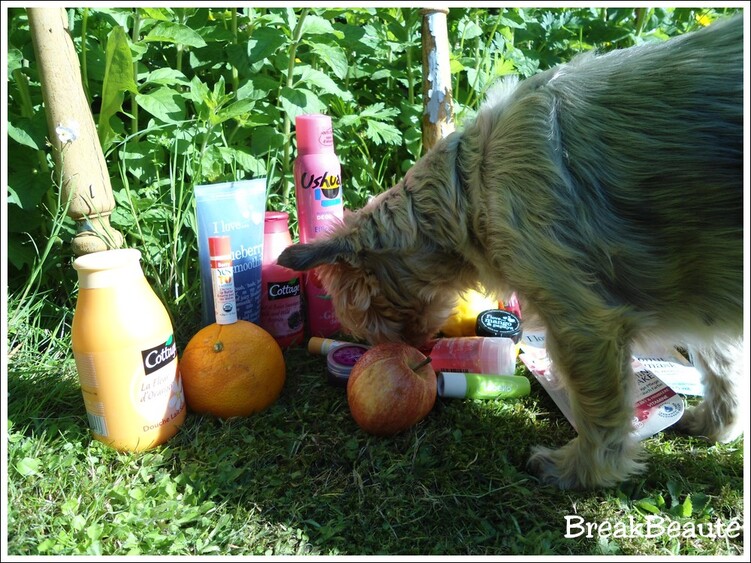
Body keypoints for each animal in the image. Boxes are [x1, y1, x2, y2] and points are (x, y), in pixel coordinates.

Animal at [278, 17, 748, 490]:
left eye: (368, 322)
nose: (405, 353)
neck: (467, 189)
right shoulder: (707, 286)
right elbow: (722, 363)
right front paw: (718, 424)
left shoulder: (584, 321)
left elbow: (601, 411)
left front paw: (582, 469)